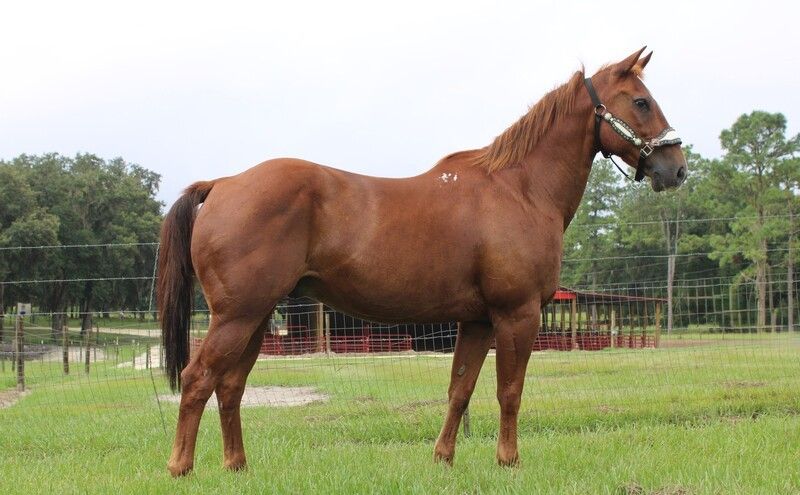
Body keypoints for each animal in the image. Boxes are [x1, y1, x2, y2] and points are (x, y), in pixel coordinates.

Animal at [157, 47, 687, 476]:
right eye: (641, 101)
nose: (677, 168)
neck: (520, 189)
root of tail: (223, 183)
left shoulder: (477, 321)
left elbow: (460, 390)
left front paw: (443, 458)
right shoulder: (516, 315)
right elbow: (509, 391)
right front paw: (508, 461)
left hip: (256, 316)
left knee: (230, 387)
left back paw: (237, 466)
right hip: (237, 316)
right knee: (198, 380)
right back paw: (181, 466)